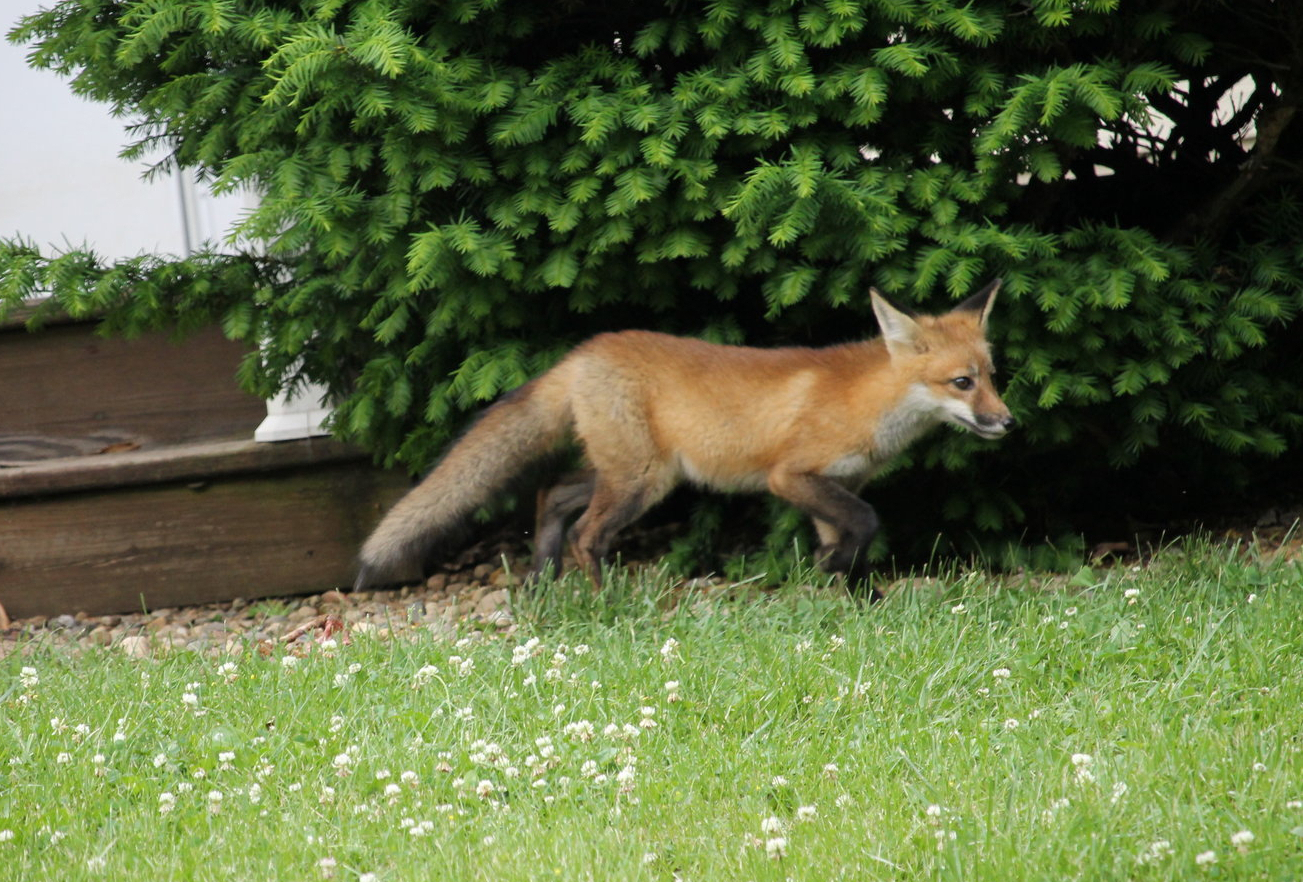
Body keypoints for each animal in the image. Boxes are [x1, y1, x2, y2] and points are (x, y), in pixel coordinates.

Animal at [355, 279, 1015, 594]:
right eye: (961, 383)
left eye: (991, 376)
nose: (1008, 422)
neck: (869, 404)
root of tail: (585, 351)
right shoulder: (791, 476)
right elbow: (868, 524)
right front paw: (833, 577)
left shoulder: (837, 488)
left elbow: (851, 544)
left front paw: (850, 601)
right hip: (639, 483)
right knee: (588, 535)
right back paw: (604, 606)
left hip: (631, 473)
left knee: (551, 495)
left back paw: (542, 585)